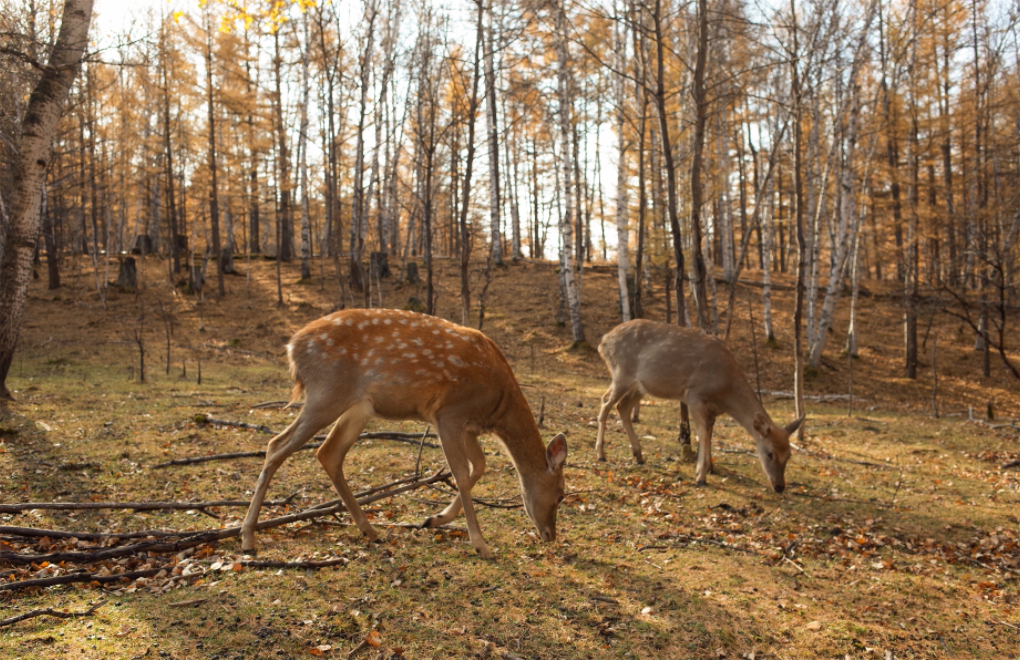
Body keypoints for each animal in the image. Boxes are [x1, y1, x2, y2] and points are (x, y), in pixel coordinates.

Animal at [242, 310, 571, 559]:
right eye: (561, 494)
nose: (550, 535)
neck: (497, 407)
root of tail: (292, 348)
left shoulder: (467, 426)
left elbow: (480, 466)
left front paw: (435, 519)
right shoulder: (448, 413)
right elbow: (462, 474)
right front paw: (480, 544)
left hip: (358, 407)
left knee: (328, 453)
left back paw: (370, 530)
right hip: (327, 392)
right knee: (277, 445)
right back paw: (247, 538)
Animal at [595, 320, 799, 489]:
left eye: (789, 454)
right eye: (770, 453)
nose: (779, 487)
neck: (726, 391)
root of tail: (603, 342)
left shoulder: (714, 409)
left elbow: (708, 432)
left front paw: (708, 468)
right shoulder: (695, 395)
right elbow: (704, 432)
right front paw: (701, 476)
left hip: (641, 386)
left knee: (622, 406)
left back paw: (638, 455)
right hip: (621, 372)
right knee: (605, 402)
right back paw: (601, 454)